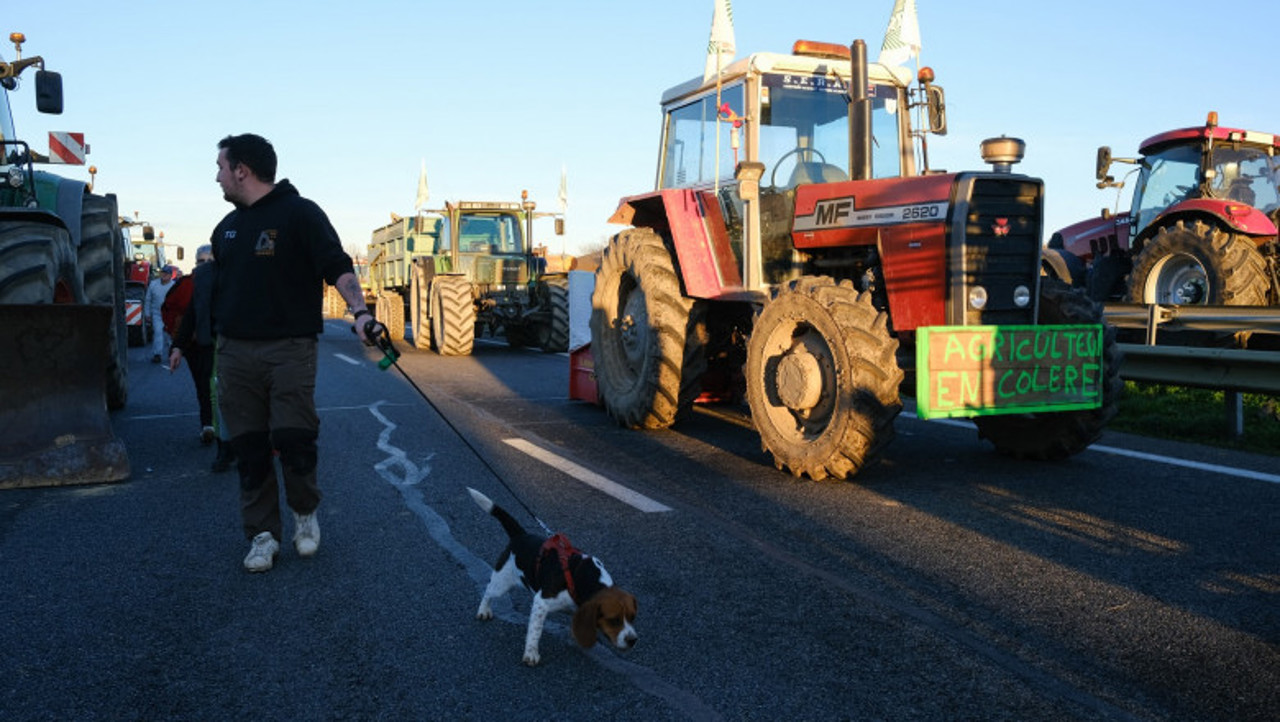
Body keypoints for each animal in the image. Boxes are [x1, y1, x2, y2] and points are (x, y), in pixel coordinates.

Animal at [468, 483, 637, 665]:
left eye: (632, 617)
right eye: (614, 620)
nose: (633, 640)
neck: (589, 578)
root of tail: (521, 535)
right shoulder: (541, 602)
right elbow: (535, 631)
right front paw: (531, 654)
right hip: (501, 582)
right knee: (488, 592)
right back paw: (484, 610)